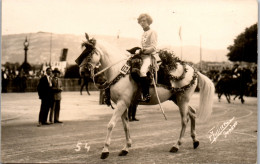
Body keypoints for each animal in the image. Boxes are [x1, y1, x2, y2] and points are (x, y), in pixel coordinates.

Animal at [75, 33, 215, 159]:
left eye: (88, 52)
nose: (81, 71)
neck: (119, 72)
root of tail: (193, 70)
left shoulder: (122, 103)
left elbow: (111, 125)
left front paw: (105, 150)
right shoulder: (124, 104)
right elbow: (126, 126)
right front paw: (126, 147)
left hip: (182, 100)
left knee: (184, 120)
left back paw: (176, 145)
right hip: (178, 99)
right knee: (192, 113)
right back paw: (195, 141)